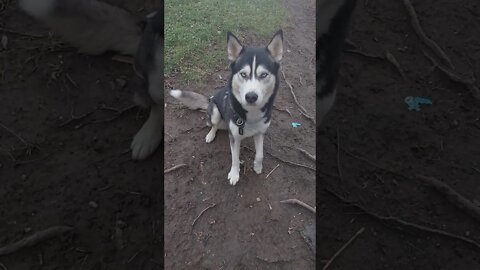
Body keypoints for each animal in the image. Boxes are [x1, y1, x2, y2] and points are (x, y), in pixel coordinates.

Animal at [171, 30, 284, 186]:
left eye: (264, 74)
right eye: (243, 74)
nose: (251, 97)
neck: (251, 116)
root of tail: (210, 99)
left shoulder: (260, 132)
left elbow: (260, 154)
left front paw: (257, 166)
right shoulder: (234, 137)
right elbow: (235, 158)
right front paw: (234, 174)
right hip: (215, 112)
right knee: (214, 125)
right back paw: (211, 135)